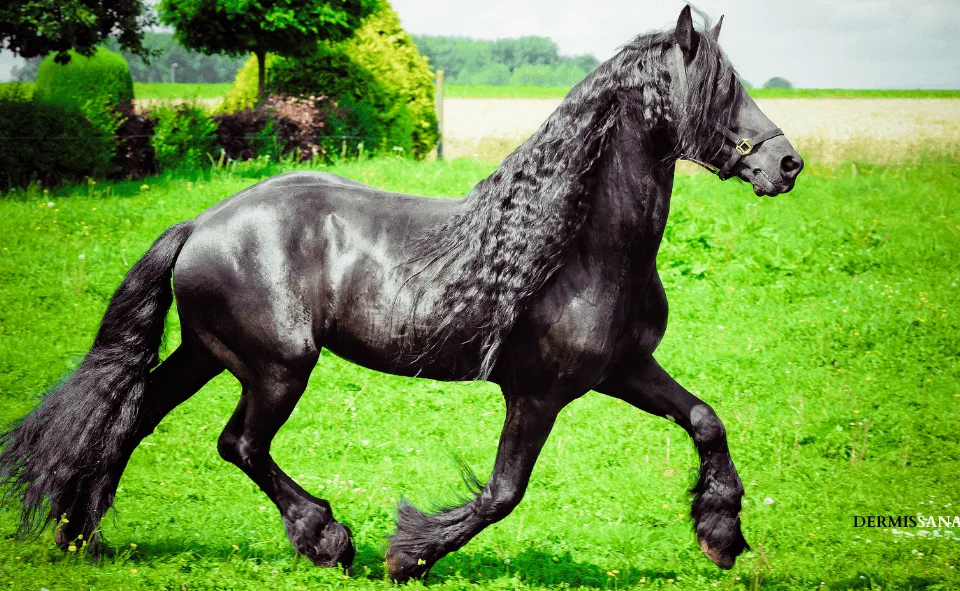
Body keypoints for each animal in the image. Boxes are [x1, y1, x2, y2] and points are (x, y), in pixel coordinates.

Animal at [0, 5, 802, 582]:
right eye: (722, 90)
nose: (787, 164)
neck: (581, 250)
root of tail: (202, 223)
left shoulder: (624, 370)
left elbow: (704, 420)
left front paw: (721, 534)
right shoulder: (538, 392)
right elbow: (502, 493)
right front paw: (407, 553)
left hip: (206, 353)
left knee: (131, 419)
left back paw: (79, 538)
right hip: (277, 366)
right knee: (240, 443)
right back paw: (328, 539)